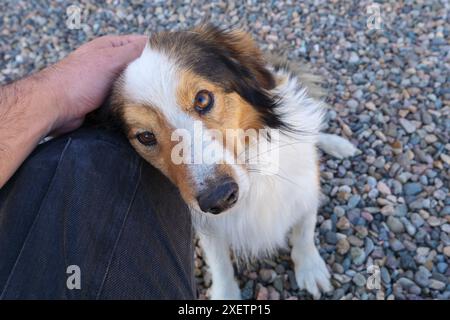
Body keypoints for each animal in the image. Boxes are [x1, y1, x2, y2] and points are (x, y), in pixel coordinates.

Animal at [103, 25, 356, 300]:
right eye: (146, 136)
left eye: (203, 99)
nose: (219, 197)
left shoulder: (306, 188)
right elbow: (219, 261)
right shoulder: (208, 225)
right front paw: (226, 293)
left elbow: (305, 229)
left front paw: (310, 268)